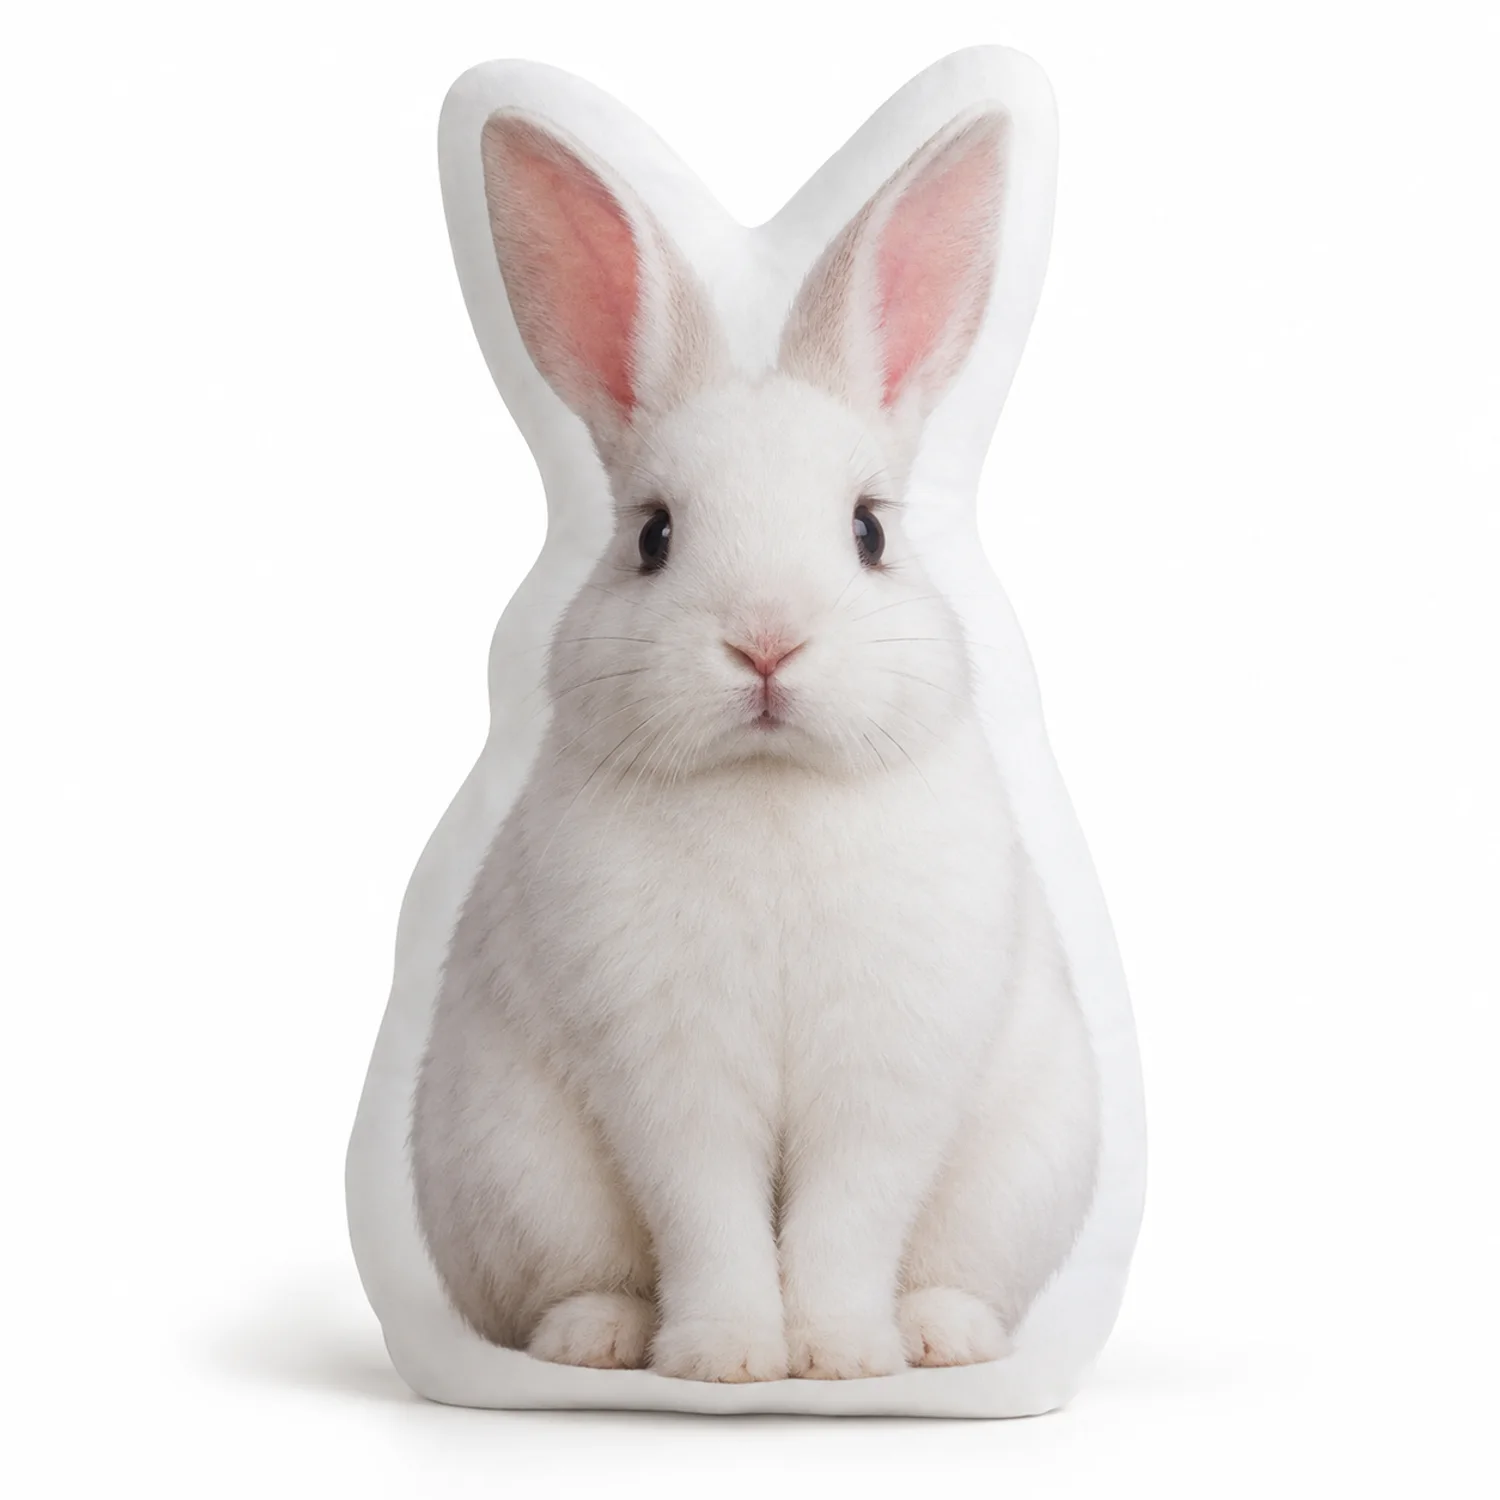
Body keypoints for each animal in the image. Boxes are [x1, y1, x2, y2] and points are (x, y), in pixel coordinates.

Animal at [410, 106, 1100, 1383]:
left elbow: (845, 1218)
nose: (767, 644)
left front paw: (839, 1358)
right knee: (567, 1286)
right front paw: (726, 1358)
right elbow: (711, 1213)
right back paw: (601, 1341)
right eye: (653, 536)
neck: (772, 785)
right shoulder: (669, 1077)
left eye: (869, 531)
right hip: (510, 1175)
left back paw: (939, 1338)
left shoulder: (884, 1078)